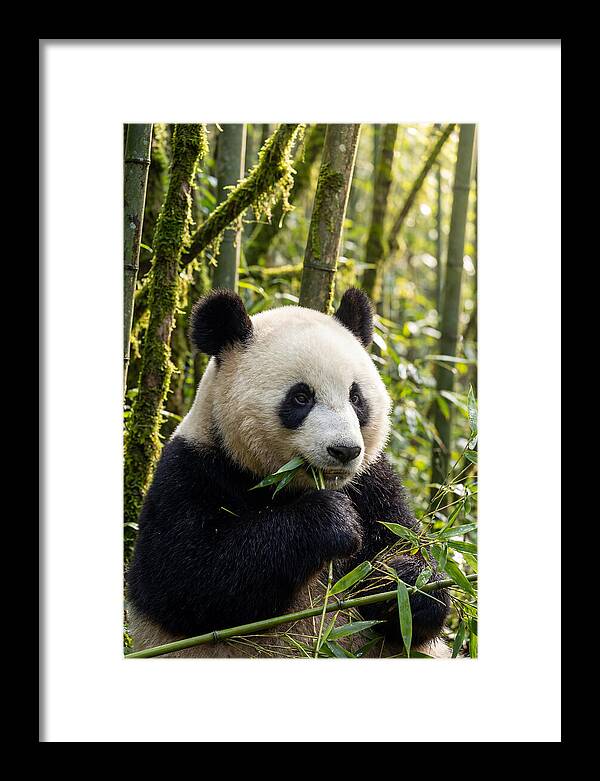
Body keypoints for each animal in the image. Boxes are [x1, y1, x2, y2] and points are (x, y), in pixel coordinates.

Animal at [127, 288, 450, 657]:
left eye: (356, 397)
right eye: (300, 397)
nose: (344, 451)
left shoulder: (373, 483)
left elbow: (409, 560)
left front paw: (404, 583)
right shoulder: (190, 472)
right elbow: (188, 580)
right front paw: (332, 521)